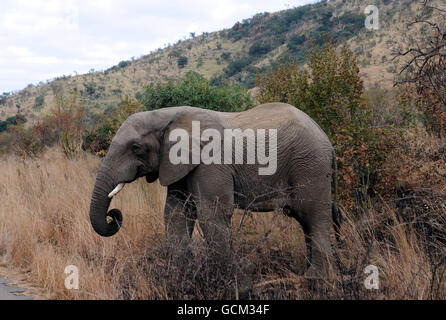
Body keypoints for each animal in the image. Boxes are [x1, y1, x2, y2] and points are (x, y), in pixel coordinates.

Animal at [89, 103, 342, 280]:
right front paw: (182, 274)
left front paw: (230, 282)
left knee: (313, 215)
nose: (113, 215)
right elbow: (176, 213)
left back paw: (315, 279)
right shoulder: (178, 164)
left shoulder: (210, 163)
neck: (167, 115)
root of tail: (328, 142)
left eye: (136, 148)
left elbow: (212, 214)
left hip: (310, 165)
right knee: (305, 220)